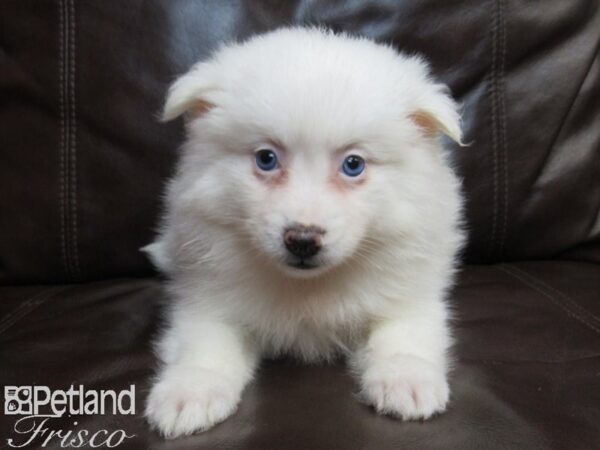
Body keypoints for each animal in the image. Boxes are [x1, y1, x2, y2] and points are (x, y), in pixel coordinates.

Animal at [144, 26, 464, 438]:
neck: (307, 288)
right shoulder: (206, 297)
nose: (303, 240)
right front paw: (191, 390)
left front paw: (406, 380)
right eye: (266, 158)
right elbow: (206, 342)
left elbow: (403, 333)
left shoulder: (410, 293)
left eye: (353, 164)